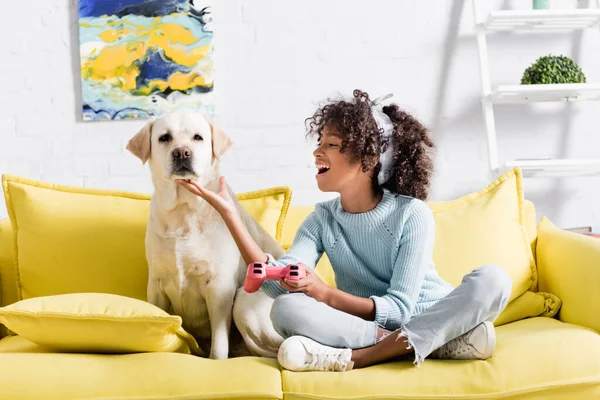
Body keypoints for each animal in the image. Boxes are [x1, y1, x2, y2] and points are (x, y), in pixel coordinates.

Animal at [126, 108, 284, 360]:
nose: (182, 152)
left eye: (198, 137)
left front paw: (215, 361)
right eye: (164, 137)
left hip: (245, 302)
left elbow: (219, 343)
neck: (183, 212)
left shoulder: (219, 287)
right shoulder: (157, 283)